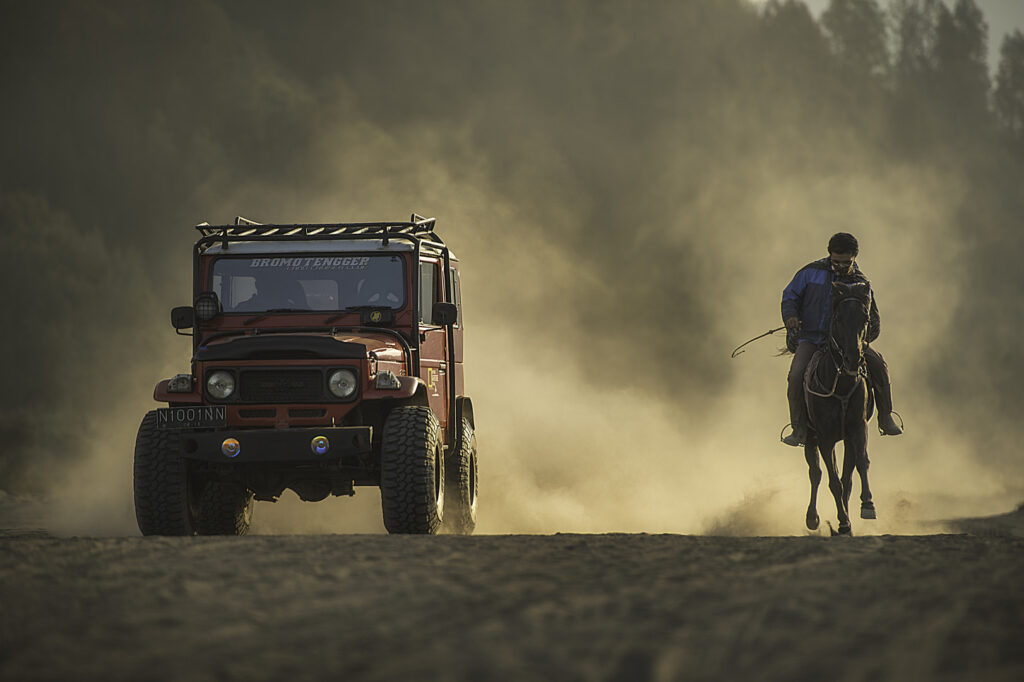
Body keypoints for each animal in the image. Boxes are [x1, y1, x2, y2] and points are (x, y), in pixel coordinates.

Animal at [802, 278, 876, 532]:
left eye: (865, 318)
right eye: (838, 318)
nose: (853, 359)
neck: (841, 385)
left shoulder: (857, 428)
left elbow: (860, 465)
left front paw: (867, 506)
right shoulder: (824, 437)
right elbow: (833, 480)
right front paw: (842, 521)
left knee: (847, 477)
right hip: (810, 436)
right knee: (815, 473)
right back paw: (813, 518)